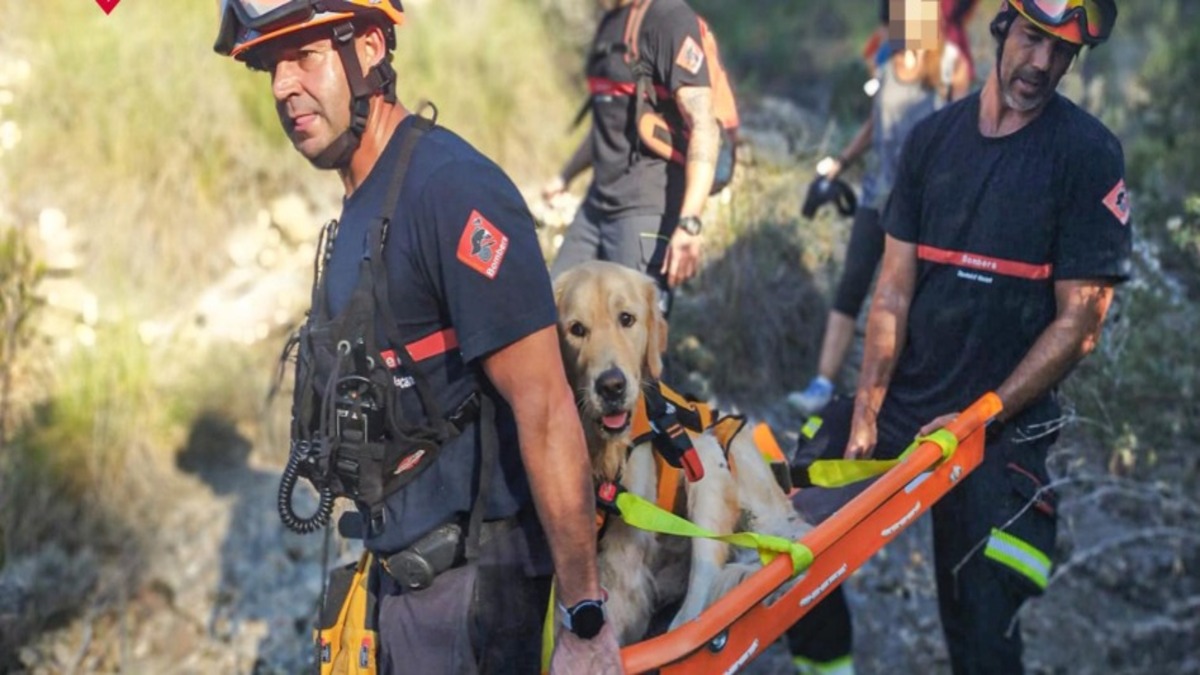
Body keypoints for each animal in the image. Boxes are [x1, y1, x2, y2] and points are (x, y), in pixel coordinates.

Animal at [552, 258, 806, 638]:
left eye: (626, 318)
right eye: (576, 329)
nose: (611, 387)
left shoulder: (626, 545)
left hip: (706, 457)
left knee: (705, 580)